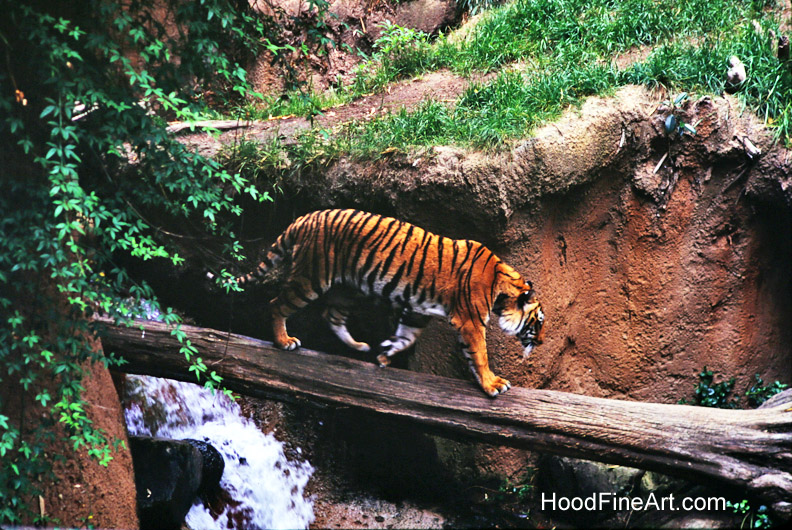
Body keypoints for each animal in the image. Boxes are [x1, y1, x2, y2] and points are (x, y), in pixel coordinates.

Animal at [210, 209, 545, 397]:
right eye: (538, 321)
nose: (541, 343)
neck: (501, 285)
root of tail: (304, 219)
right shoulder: (471, 321)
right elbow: (480, 355)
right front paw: (492, 384)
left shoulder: (417, 312)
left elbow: (406, 338)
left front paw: (385, 356)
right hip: (311, 278)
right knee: (276, 303)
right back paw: (284, 341)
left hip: (348, 288)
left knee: (332, 315)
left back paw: (360, 346)